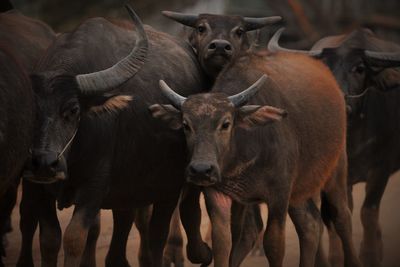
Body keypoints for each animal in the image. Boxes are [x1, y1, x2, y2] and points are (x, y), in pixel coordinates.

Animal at [28, 4, 206, 267]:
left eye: (73, 110)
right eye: (30, 110)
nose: (44, 163)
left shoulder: (94, 189)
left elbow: (74, 239)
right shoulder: (37, 188)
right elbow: (50, 240)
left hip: (167, 190)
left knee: (157, 235)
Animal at [151, 50, 362, 267]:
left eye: (226, 123)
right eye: (186, 125)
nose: (201, 170)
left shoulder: (279, 196)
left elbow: (274, 245)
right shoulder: (218, 194)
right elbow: (223, 243)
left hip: (336, 169)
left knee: (342, 217)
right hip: (298, 189)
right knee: (309, 224)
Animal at [268, 27, 400, 267]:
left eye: (359, 68)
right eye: (325, 69)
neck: (353, 136)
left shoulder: (381, 168)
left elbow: (368, 212)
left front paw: (370, 256)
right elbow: (332, 215)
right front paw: (335, 258)